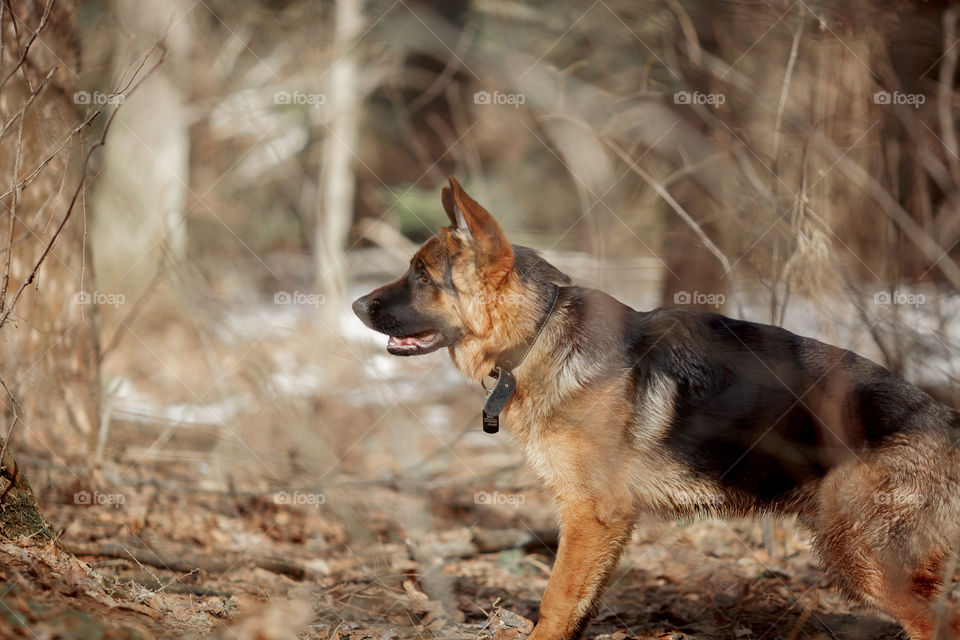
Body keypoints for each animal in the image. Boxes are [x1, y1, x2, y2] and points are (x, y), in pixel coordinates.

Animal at [350, 176, 960, 640]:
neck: (539, 332)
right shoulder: (605, 524)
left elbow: (554, 602)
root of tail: (946, 421)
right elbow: (579, 604)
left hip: (860, 554)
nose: (355, 305)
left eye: (421, 275)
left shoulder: (592, 513)